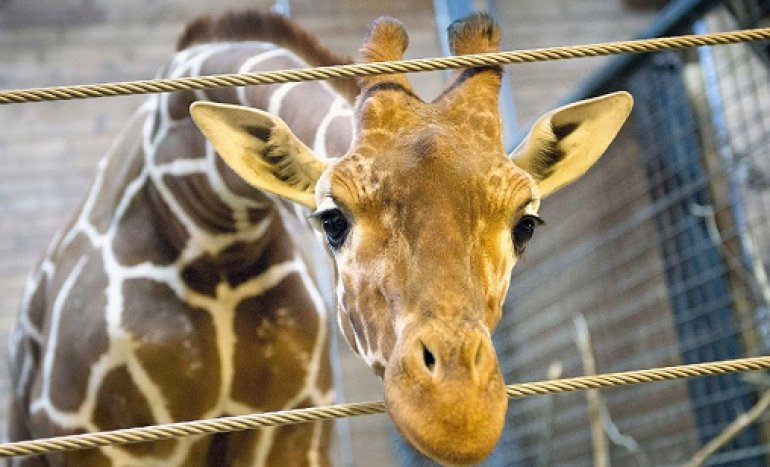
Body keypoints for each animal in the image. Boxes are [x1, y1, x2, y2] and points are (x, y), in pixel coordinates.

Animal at [6, 8, 632, 467]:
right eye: (332, 219)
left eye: (525, 223)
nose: (457, 413)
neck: (212, 233)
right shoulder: (97, 440)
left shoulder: (292, 432)